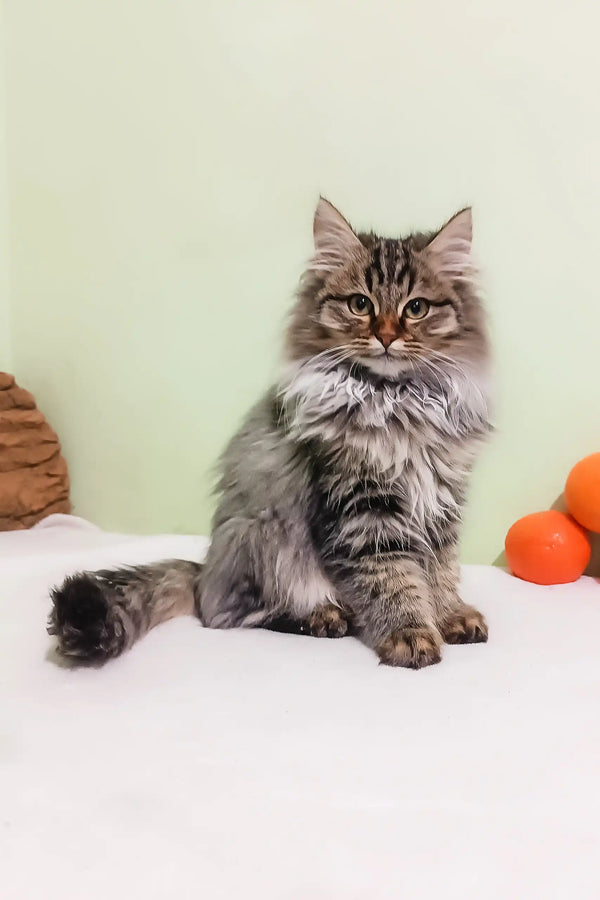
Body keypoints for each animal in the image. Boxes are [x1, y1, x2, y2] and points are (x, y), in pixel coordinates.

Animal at [49, 202, 492, 668]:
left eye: (416, 309)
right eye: (360, 304)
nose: (386, 336)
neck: (395, 402)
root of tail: (205, 570)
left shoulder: (440, 500)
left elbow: (440, 570)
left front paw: (449, 616)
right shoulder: (361, 508)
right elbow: (391, 578)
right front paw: (410, 634)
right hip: (264, 541)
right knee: (230, 615)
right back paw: (324, 617)